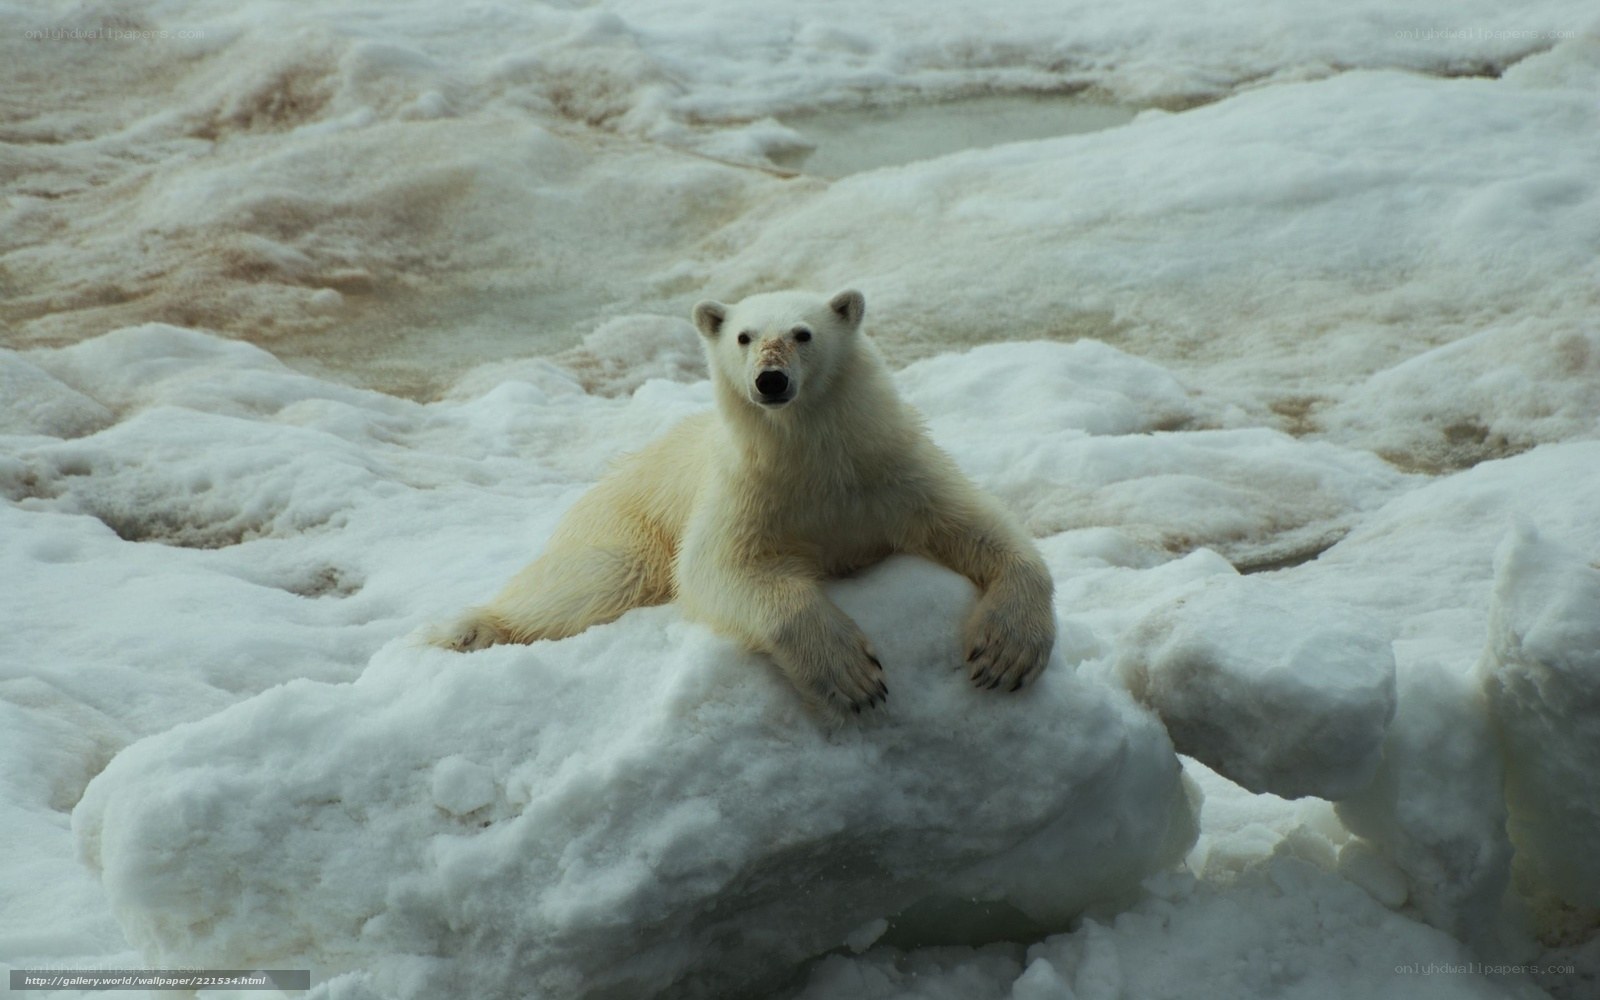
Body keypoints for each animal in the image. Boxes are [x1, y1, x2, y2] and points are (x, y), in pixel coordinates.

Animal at [431, 289, 1056, 715]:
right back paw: (468, 630)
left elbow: (978, 527)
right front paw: (854, 677)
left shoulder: (892, 472)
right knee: (595, 581)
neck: (816, 461)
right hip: (626, 523)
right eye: (744, 336)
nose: (770, 380)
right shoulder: (747, 493)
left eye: (803, 333)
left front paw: (1005, 655)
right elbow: (720, 569)